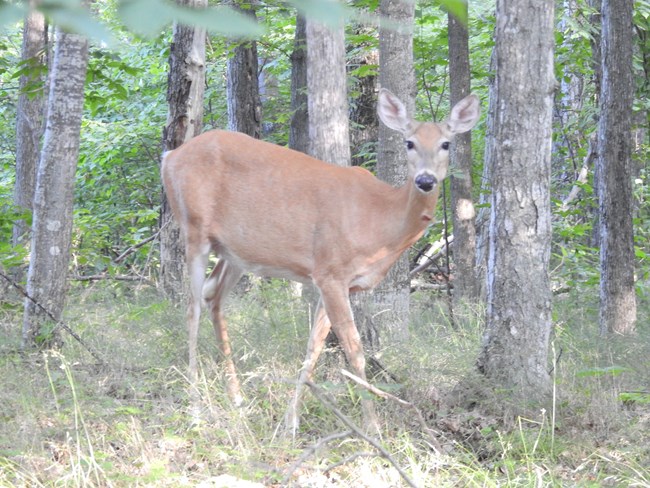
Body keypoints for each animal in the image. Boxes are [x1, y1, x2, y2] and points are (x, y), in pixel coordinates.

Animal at [159, 87, 478, 430]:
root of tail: (169, 157)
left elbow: (313, 346)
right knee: (191, 308)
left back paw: (237, 399)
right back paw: (195, 407)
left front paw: (290, 424)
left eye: (446, 143)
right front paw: (371, 428)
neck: (380, 220)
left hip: (235, 251)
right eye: (409, 142)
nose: (425, 180)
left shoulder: (334, 279)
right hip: (194, 228)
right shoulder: (331, 270)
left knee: (213, 296)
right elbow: (355, 350)